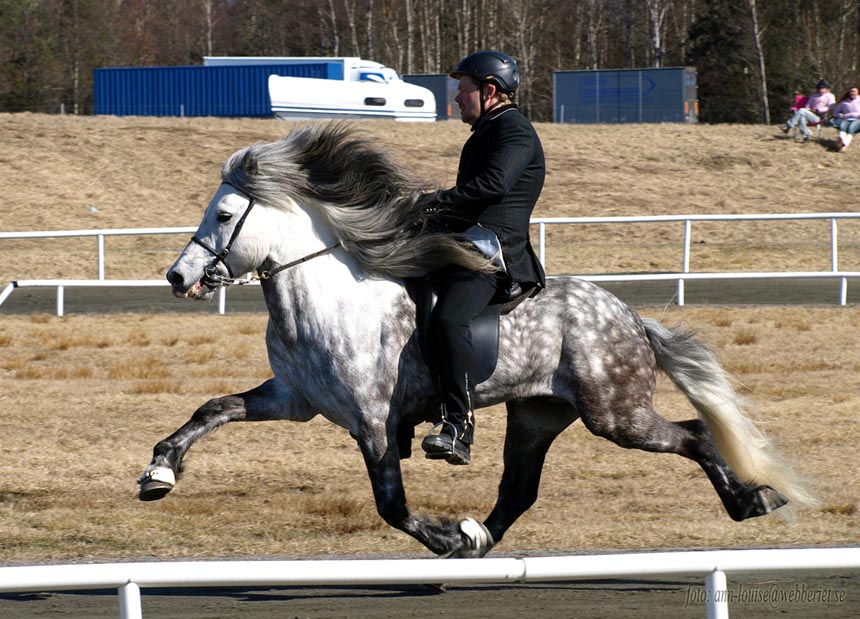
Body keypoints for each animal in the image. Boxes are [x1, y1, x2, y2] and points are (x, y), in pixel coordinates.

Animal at [139, 123, 812, 560]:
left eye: (225, 215)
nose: (178, 277)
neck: (325, 303)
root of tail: (628, 315)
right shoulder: (293, 399)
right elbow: (212, 409)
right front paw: (159, 471)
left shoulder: (372, 422)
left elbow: (391, 504)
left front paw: (439, 535)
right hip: (539, 412)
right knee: (519, 488)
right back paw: (477, 537)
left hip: (615, 414)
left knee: (693, 434)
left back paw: (751, 501)